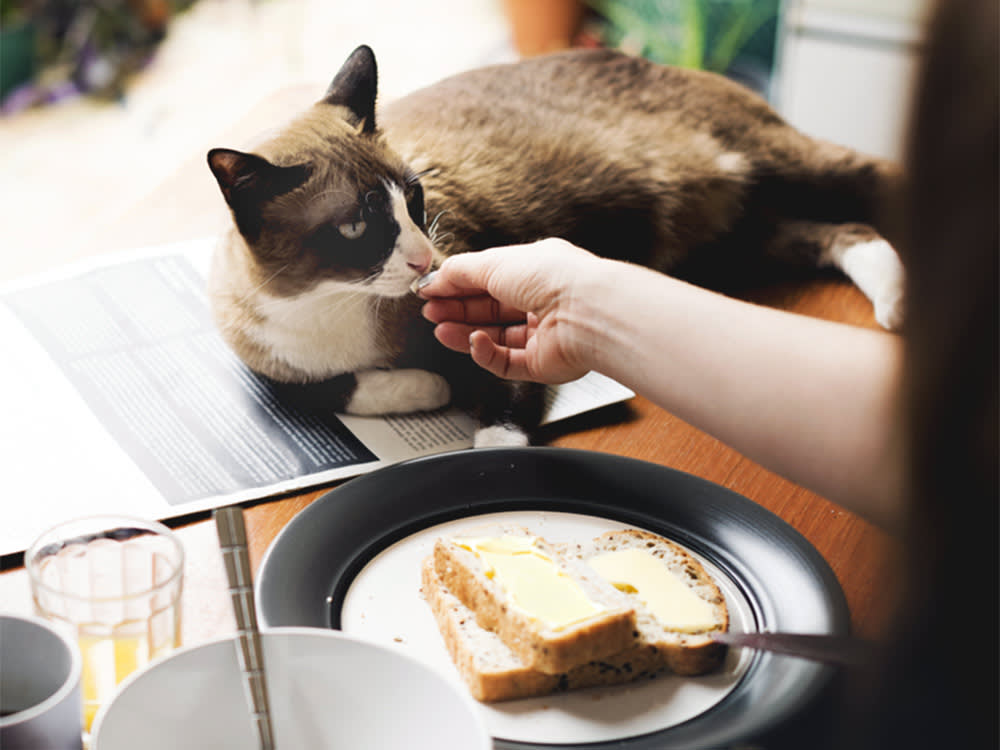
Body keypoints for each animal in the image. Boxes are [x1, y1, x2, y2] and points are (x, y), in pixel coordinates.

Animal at [205, 45, 908, 446]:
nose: (425, 260)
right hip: (730, 242)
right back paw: (895, 298)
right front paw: (424, 388)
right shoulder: (262, 367)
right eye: (355, 226)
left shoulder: (501, 336)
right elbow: (314, 390)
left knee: (875, 181)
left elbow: (499, 433)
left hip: (784, 165)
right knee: (843, 233)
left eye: (414, 197)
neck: (331, 305)